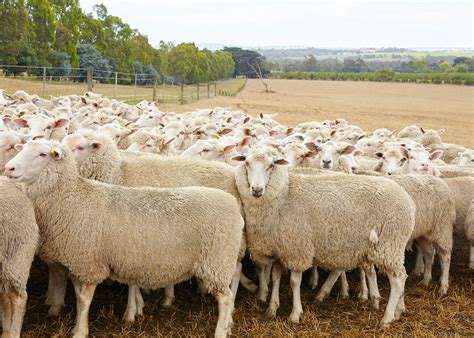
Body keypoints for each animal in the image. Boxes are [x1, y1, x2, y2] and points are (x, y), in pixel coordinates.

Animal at [5, 139, 244, 336]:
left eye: (43, 154)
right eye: (23, 148)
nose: (9, 168)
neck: (73, 197)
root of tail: (234, 207)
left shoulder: (90, 264)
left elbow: (84, 300)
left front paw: (80, 331)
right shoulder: (79, 263)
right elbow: (78, 297)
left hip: (217, 262)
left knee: (226, 298)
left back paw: (222, 330)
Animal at [233, 147, 414, 326]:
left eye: (271, 166)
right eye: (247, 163)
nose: (257, 190)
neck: (284, 195)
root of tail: (407, 199)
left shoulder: (298, 249)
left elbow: (294, 282)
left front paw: (295, 314)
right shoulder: (280, 249)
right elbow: (276, 277)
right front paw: (271, 309)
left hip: (389, 244)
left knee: (397, 280)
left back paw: (387, 318)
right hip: (387, 247)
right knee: (403, 274)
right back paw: (398, 311)